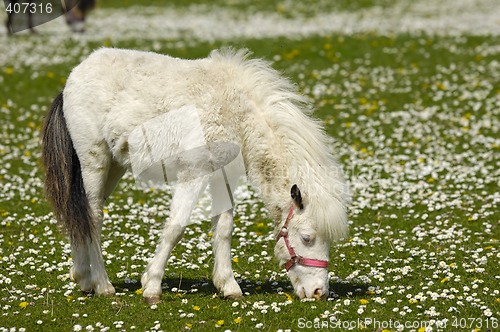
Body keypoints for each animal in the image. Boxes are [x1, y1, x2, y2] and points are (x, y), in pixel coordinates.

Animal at [41, 47, 350, 304]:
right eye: (307, 238)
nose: (319, 292)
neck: (237, 115)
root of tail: (72, 78)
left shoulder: (222, 179)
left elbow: (224, 229)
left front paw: (228, 285)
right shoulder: (194, 174)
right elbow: (176, 226)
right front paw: (152, 286)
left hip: (113, 168)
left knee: (81, 214)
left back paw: (83, 277)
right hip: (95, 162)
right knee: (92, 216)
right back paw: (103, 285)